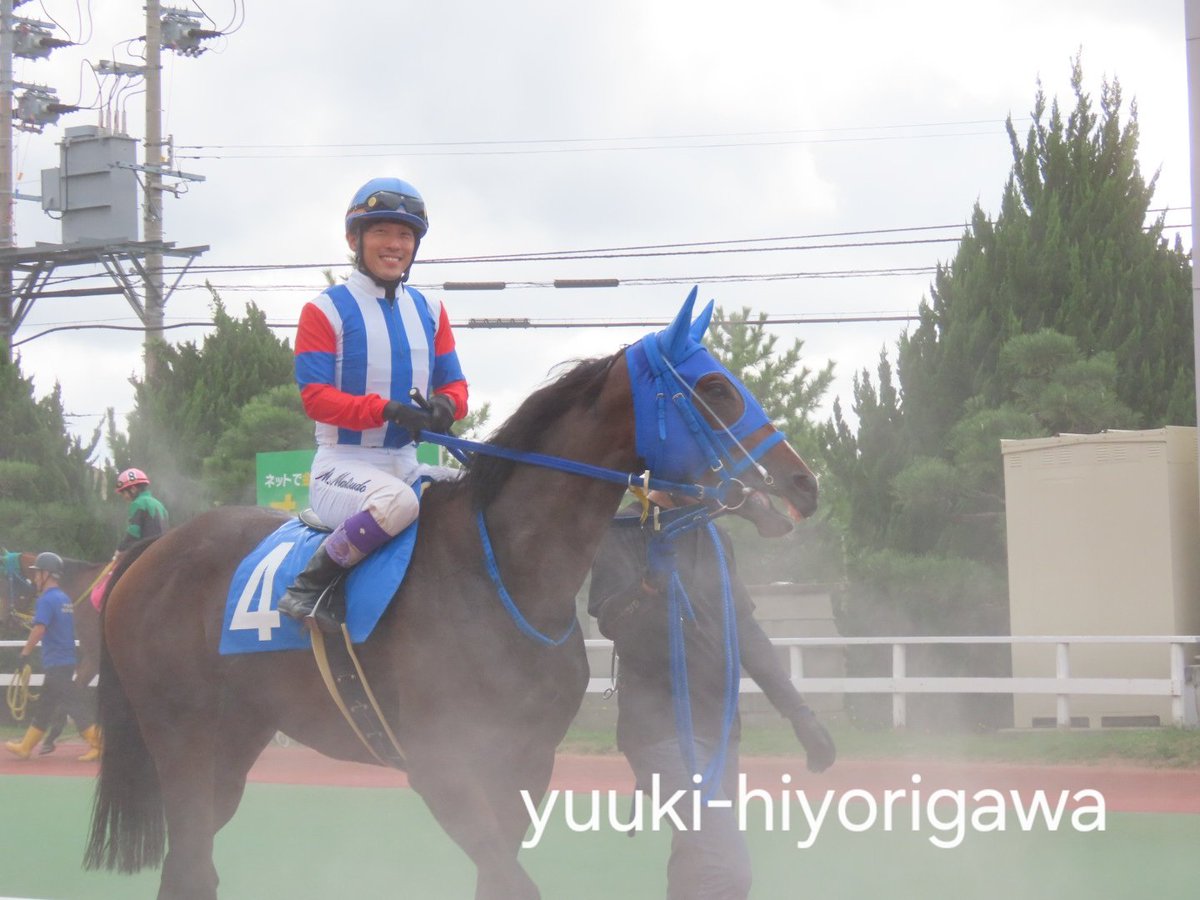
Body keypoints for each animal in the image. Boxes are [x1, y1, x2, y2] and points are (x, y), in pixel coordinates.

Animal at [84, 292, 821, 900]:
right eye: (716, 387)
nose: (803, 484)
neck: (504, 575)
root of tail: (155, 551)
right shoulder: (443, 766)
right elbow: (512, 882)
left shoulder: (525, 764)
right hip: (180, 736)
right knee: (190, 862)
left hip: (235, 739)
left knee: (191, 866)